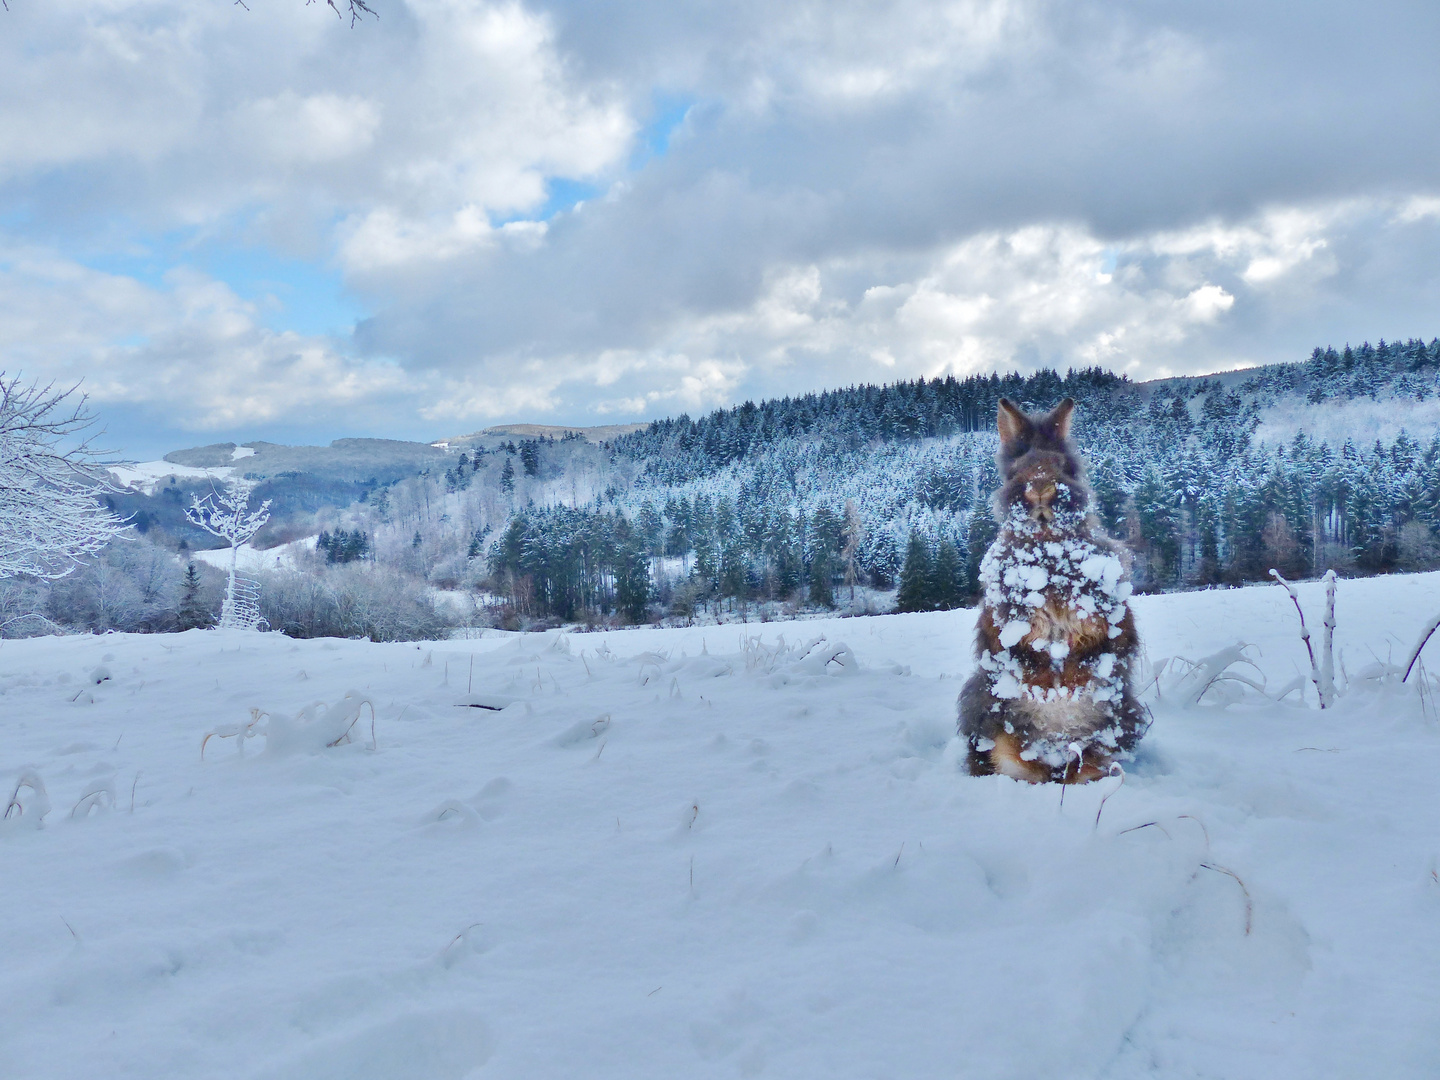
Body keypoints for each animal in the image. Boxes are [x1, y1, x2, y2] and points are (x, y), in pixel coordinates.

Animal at [961, 397, 1152, 789]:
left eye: (1065, 467)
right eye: (1015, 472)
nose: (1040, 489)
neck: (1046, 550)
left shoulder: (1109, 625)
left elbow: (1090, 657)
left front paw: (1068, 688)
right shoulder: (1003, 630)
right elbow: (1027, 660)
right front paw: (1047, 690)